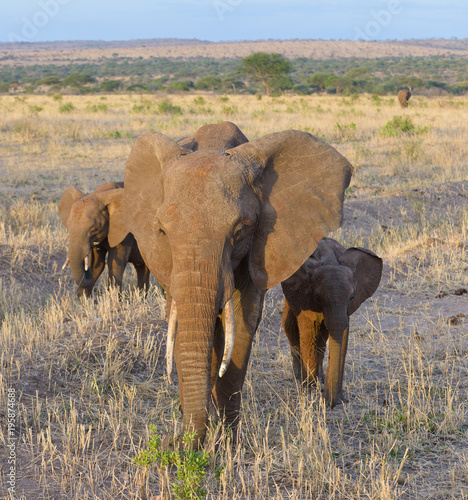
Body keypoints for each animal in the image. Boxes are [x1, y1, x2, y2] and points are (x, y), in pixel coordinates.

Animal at [121, 122, 354, 450]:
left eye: (240, 230)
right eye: (163, 231)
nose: (174, 443)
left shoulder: (260, 250)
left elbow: (243, 326)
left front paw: (230, 443)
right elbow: (183, 329)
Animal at [280, 237, 382, 406]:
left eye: (352, 297)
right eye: (317, 297)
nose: (332, 402)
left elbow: (341, 331)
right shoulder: (304, 295)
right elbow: (309, 331)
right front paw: (310, 392)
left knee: (322, 339)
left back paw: (318, 377)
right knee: (290, 327)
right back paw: (299, 377)